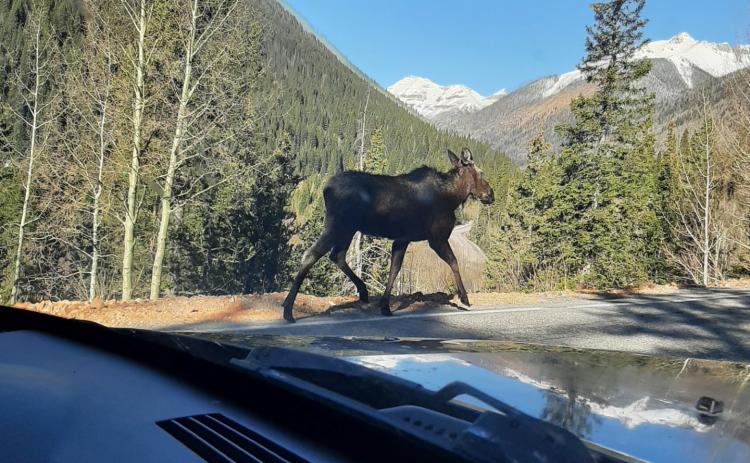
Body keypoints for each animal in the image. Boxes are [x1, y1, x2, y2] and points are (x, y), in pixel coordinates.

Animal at [282, 147, 494, 323]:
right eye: (481, 172)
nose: (491, 194)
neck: (452, 198)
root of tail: (325, 189)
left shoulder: (402, 239)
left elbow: (394, 268)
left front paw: (385, 306)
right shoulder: (436, 238)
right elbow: (454, 262)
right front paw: (465, 298)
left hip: (348, 229)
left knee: (337, 255)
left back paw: (363, 291)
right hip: (337, 226)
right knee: (311, 254)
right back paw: (288, 310)